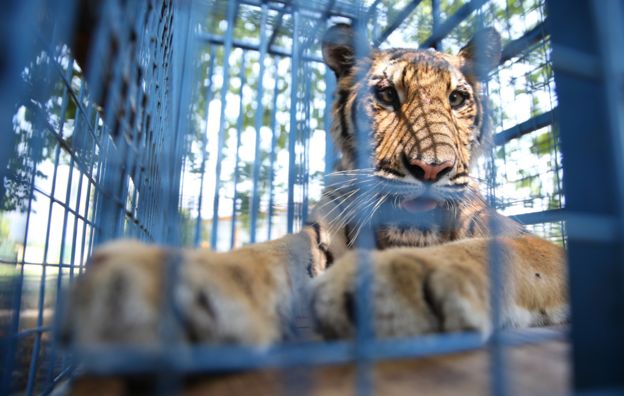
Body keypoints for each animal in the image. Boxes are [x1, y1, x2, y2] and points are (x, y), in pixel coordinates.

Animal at [61, 24, 568, 346]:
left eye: (458, 98)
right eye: (386, 94)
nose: (431, 169)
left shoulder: (529, 243)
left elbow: (483, 250)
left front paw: (392, 281)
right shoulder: (319, 237)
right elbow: (269, 251)